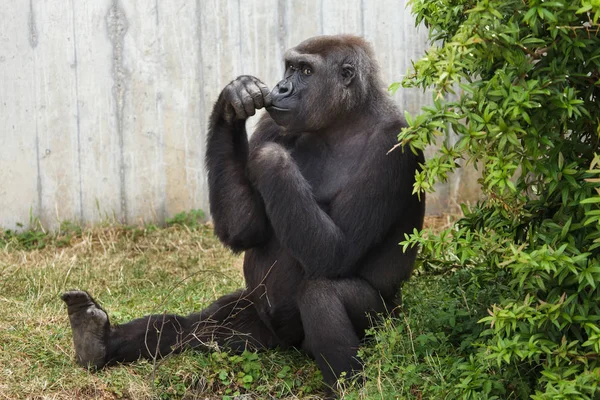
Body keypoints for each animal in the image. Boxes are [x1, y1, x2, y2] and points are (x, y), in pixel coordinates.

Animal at [61, 35, 424, 396]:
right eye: (290, 67)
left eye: (306, 71)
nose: (281, 87)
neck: (345, 119)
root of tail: (287, 345)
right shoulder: (273, 121)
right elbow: (245, 230)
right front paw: (231, 103)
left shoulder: (392, 144)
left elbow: (337, 252)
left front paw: (270, 157)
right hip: (258, 327)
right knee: (194, 327)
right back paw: (97, 340)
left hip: (385, 325)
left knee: (322, 294)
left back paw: (348, 388)